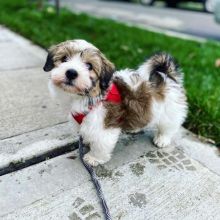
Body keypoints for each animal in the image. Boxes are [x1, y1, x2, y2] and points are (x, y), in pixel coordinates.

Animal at [44, 40, 187, 167]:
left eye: (89, 66)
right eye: (64, 58)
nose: (71, 72)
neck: (88, 96)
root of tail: (166, 77)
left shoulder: (105, 124)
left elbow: (101, 143)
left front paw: (93, 158)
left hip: (170, 111)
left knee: (168, 126)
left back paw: (162, 139)